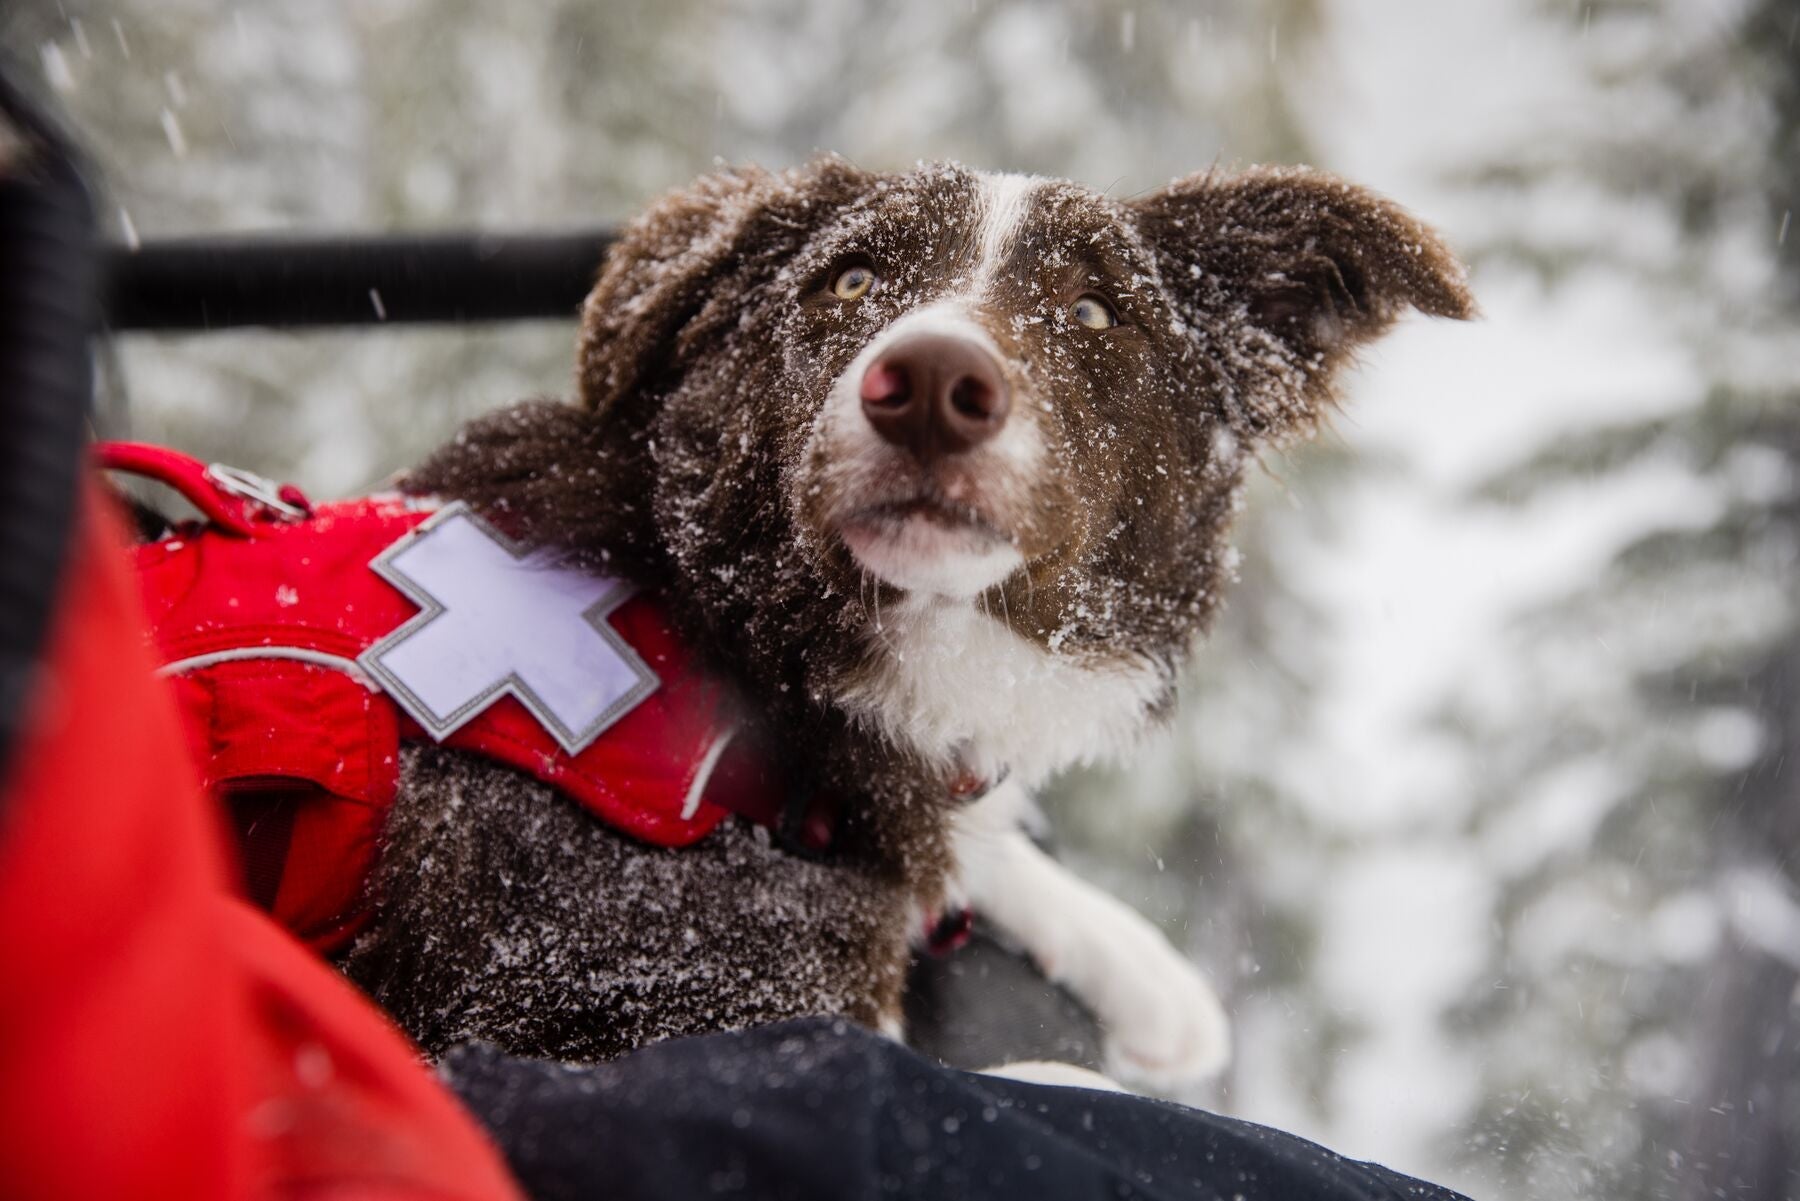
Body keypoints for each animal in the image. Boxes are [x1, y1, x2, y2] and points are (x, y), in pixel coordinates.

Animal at [331, 154, 1468, 1087]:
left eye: (1096, 312)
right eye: (851, 280)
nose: (928, 384)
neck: (752, 648)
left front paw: (1136, 961)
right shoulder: (589, 989)